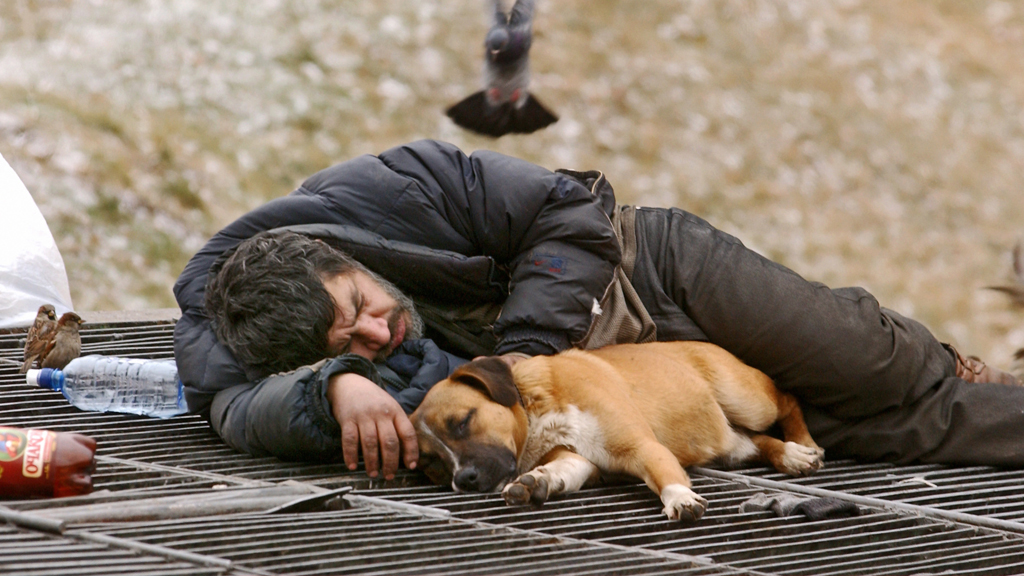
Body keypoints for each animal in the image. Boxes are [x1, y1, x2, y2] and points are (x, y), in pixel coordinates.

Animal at [407, 338, 823, 522]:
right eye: (432, 465)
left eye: (463, 422)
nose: (463, 479)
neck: (534, 405)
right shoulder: (584, 460)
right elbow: (562, 468)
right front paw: (538, 481)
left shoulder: (640, 446)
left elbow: (665, 473)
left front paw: (680, 498)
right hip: (730, 441)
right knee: (757, 442)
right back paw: (788, 455)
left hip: (745, 397)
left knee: (787, 397)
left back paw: (801, 445)